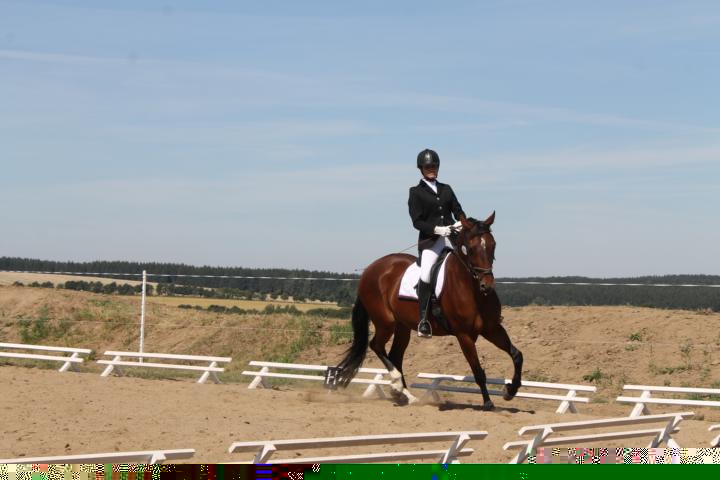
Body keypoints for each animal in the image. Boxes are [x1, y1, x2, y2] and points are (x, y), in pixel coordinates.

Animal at [334, 212, 522, 411]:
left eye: (493, 244)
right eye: (470, 249)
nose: (487, 286)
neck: (473, 290)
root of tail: (369, 270)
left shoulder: (492, 328)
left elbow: (517, 355)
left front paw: (510, 390)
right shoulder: (464, 335)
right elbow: (477, 370)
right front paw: (487, 402)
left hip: (402, 327)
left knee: (395, 356)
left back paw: (405, 395)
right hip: (385, 322)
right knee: (376, 346)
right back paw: (397, 386)